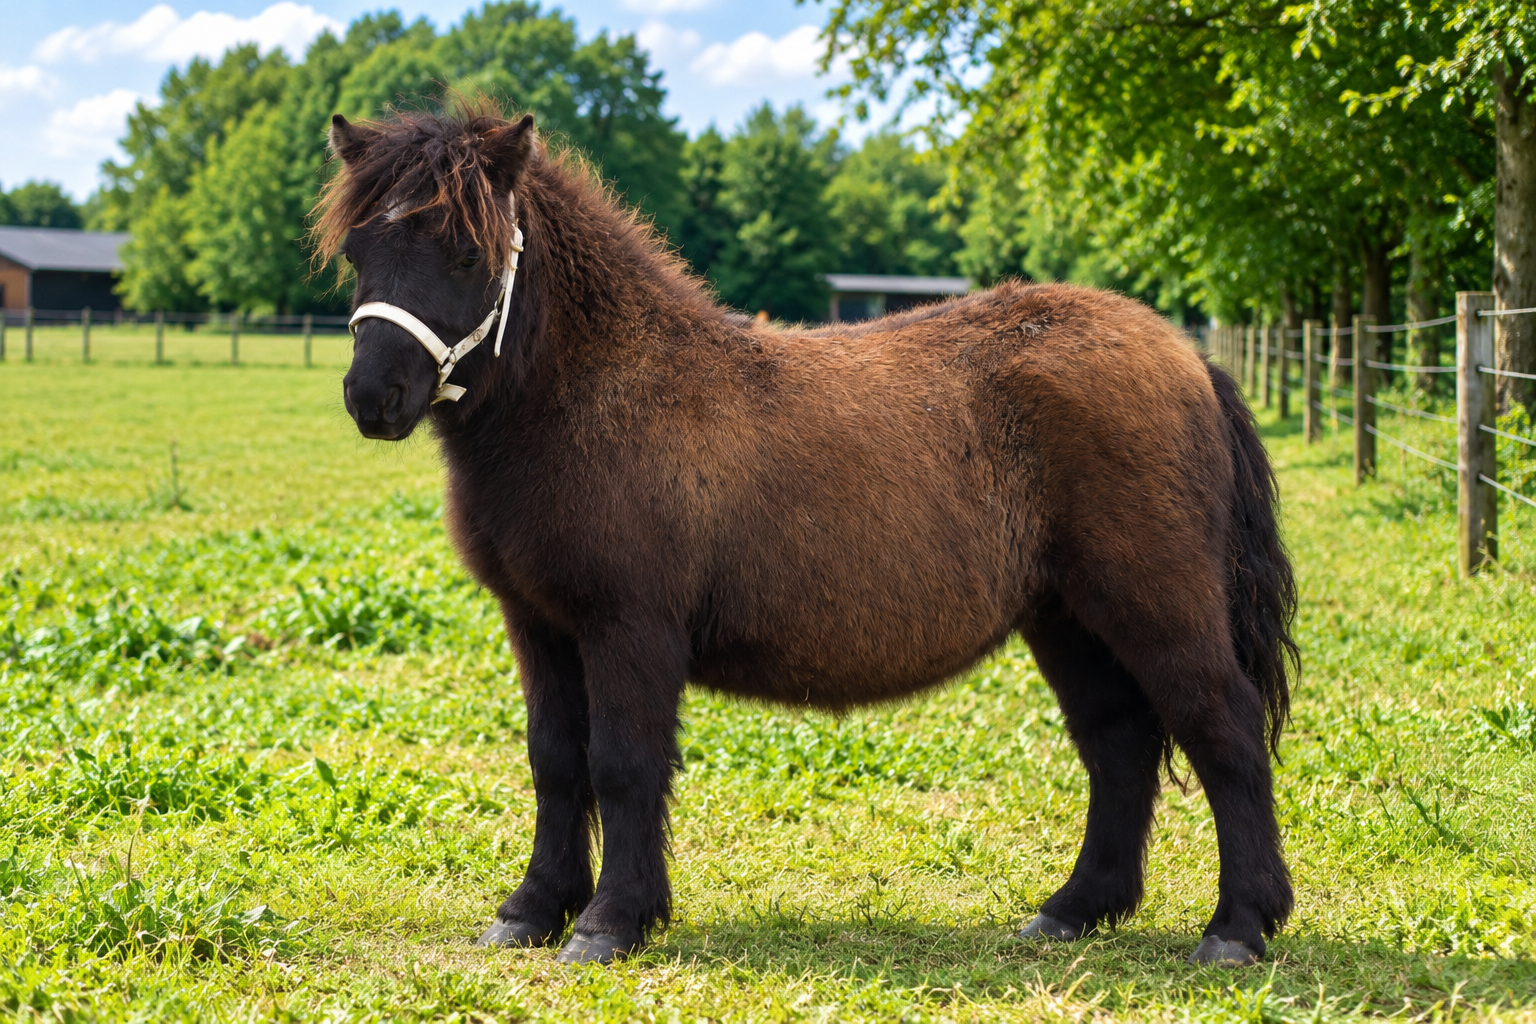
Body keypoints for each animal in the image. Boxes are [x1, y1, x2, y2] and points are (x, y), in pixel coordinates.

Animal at [314, 103, 1298, 968]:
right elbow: (556, 762)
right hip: (1066, 619)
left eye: (466, 250)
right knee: (1118, 743)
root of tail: (1184, 356)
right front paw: (530, 912)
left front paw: (608, 924)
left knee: (1224, 731)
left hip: (1154, 604)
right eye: (360, 249)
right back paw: (1074, 910)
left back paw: (1237, 928)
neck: (599, 395)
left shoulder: (629, 629)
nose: (372, 398)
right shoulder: (540, 624)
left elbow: (624, 765)